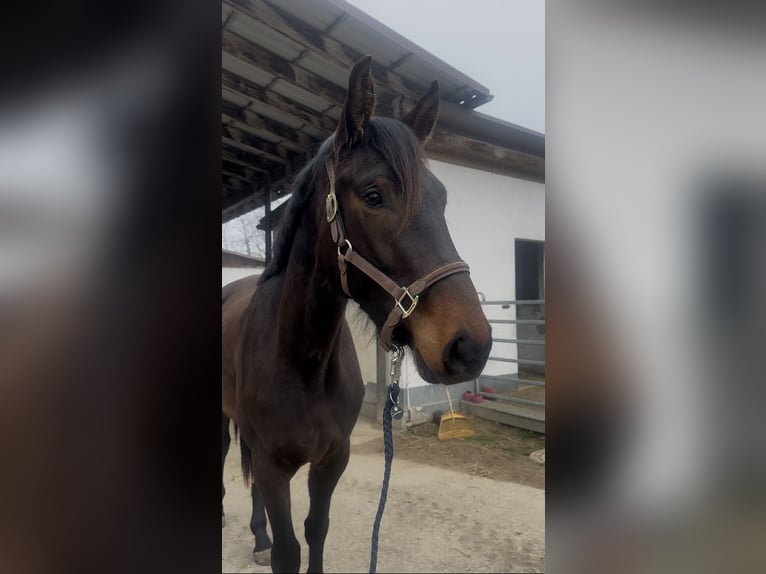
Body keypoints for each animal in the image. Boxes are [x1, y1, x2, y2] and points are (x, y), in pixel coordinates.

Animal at [222, 55, 492, 573]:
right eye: (373, 195)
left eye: (442, 198)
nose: (471, 344)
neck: (302, 359)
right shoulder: (272, 465)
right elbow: (289, 550)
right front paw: (274, 544)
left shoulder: (332, 459)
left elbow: (316, 531)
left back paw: (258, 536)